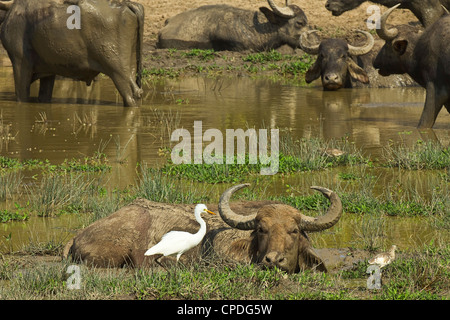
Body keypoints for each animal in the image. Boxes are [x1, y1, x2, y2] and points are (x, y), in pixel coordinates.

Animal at [0, 0, 143, 107]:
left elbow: (21, 96)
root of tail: (125, 4)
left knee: (131, 95)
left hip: (118, 71)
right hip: (130, 66)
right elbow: (44, 96)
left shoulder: (20, 63)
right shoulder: (48, 71)